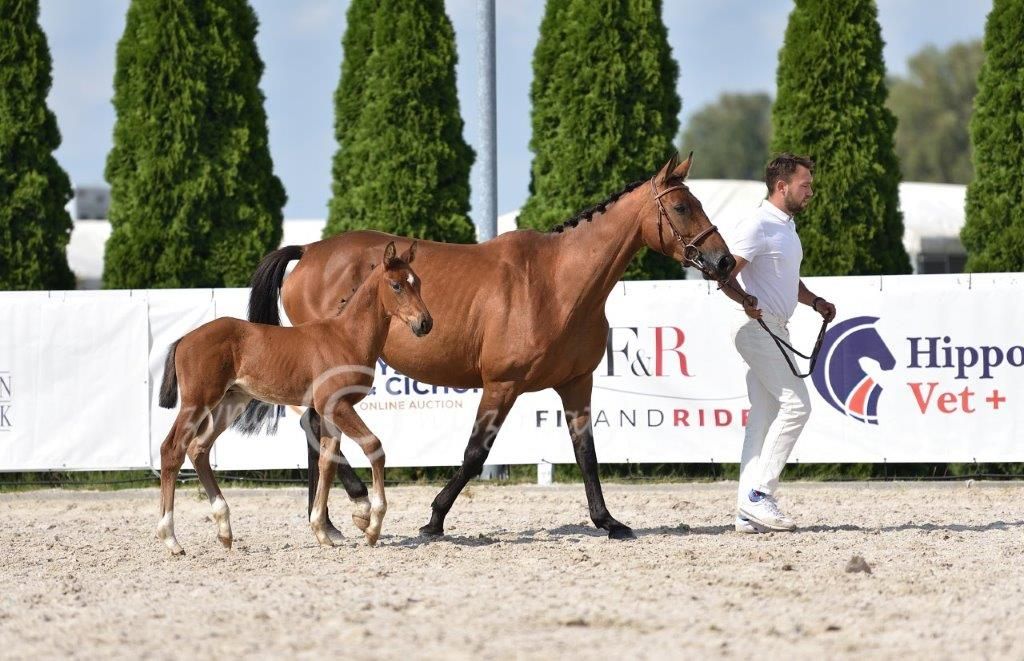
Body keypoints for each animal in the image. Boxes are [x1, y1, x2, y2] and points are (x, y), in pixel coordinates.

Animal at [155, 242, 429, 554]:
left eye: (418, 283)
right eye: (396, 285)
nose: (425, 323)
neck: (347, 337)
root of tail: (184, 339)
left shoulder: (330, 410)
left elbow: (327, 461)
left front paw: (322, 532)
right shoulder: (338, 406)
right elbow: (374, 447)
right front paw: (372, 528)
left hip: (230, 403)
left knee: (198, 449)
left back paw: (224, 530)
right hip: (197, 401)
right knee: (172, 449)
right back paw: (171, 539)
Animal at [243, 152, 735, 541]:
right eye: (681, 206)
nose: (724, 261)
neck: (557, 283)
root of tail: (308, 251)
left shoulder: (577, 383)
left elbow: (586, 453)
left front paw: (608, 522)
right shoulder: (502, 384)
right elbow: (476, 452)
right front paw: (434, 520)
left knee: (315, 427)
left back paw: (325, 520)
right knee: (315, 425)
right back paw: (356, 500)